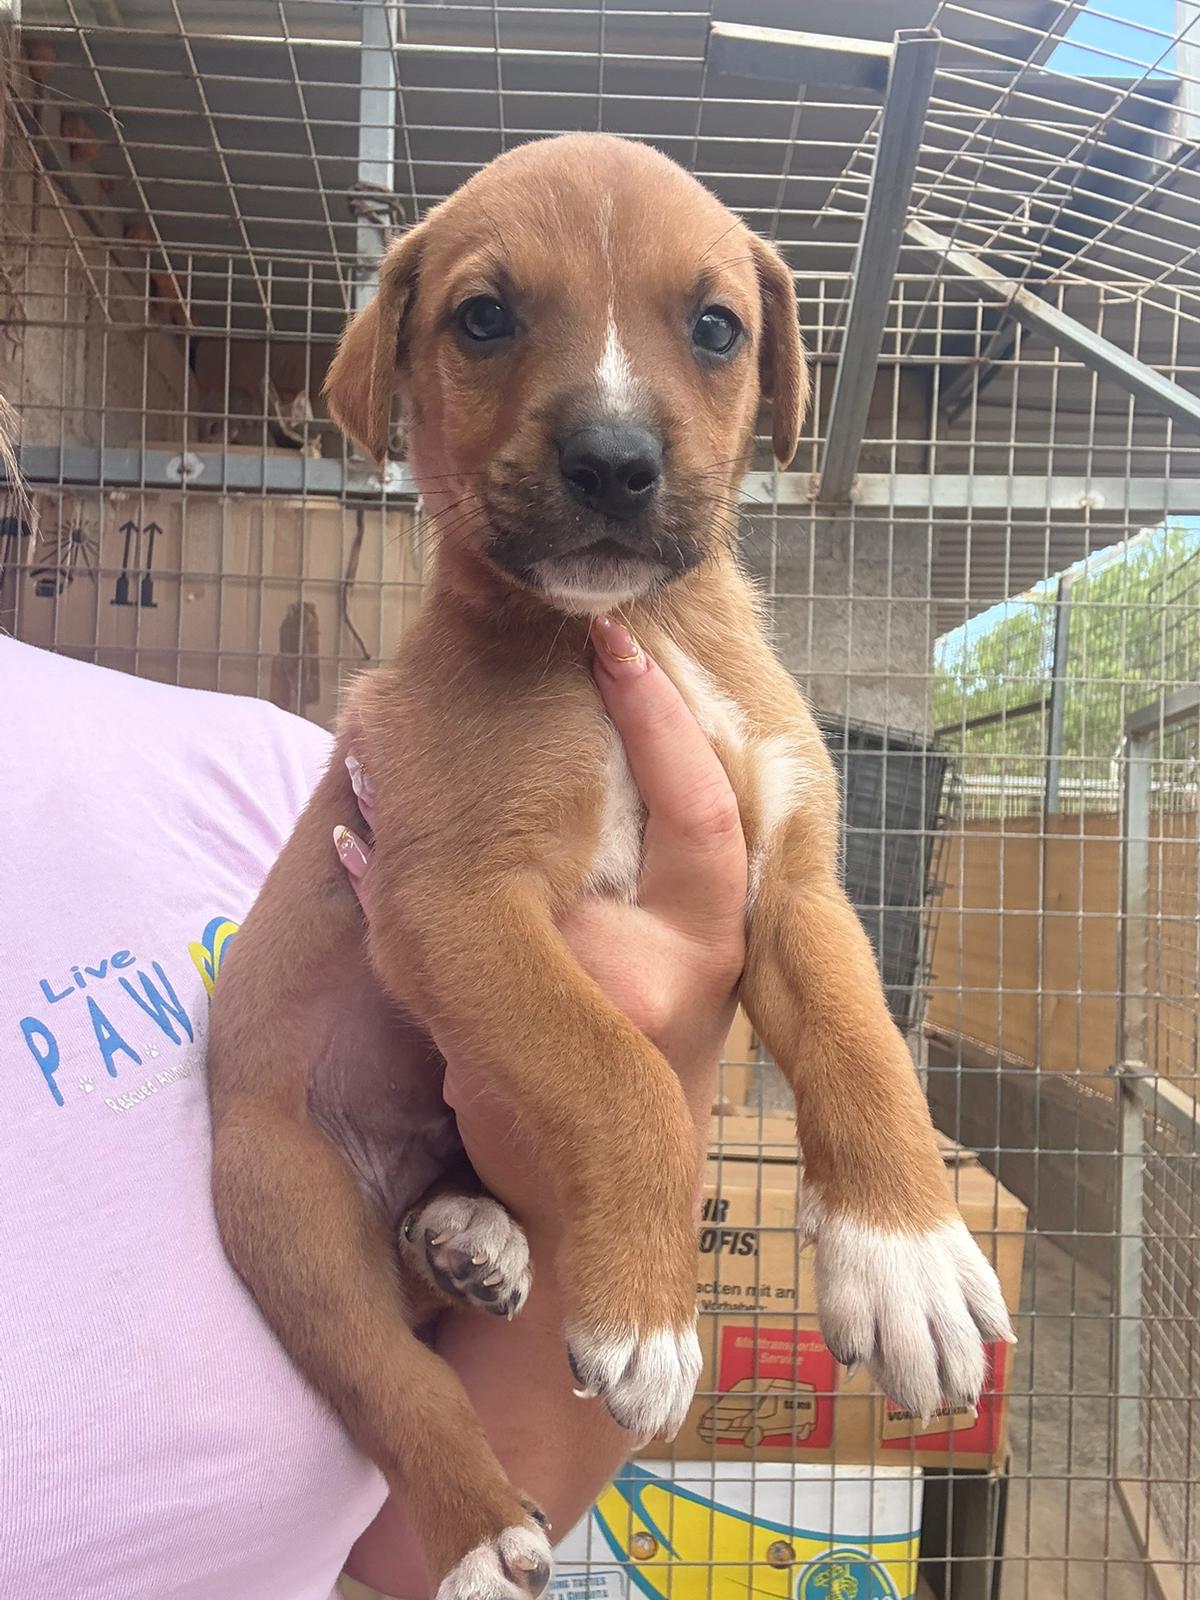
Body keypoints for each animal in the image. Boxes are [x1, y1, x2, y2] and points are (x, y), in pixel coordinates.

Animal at [207, 133, 1015, 1600]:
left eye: (716, 327)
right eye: (482, 317)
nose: (614, 460)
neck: (633, 633)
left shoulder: (792, 878)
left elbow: (865, 1042)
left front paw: (910, 1256)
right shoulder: (450, 898)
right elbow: (624, 1076)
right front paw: (649, 1312)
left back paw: (472, 1236)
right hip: (284, 1210)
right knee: (397, 1383)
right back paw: (480, 1532)